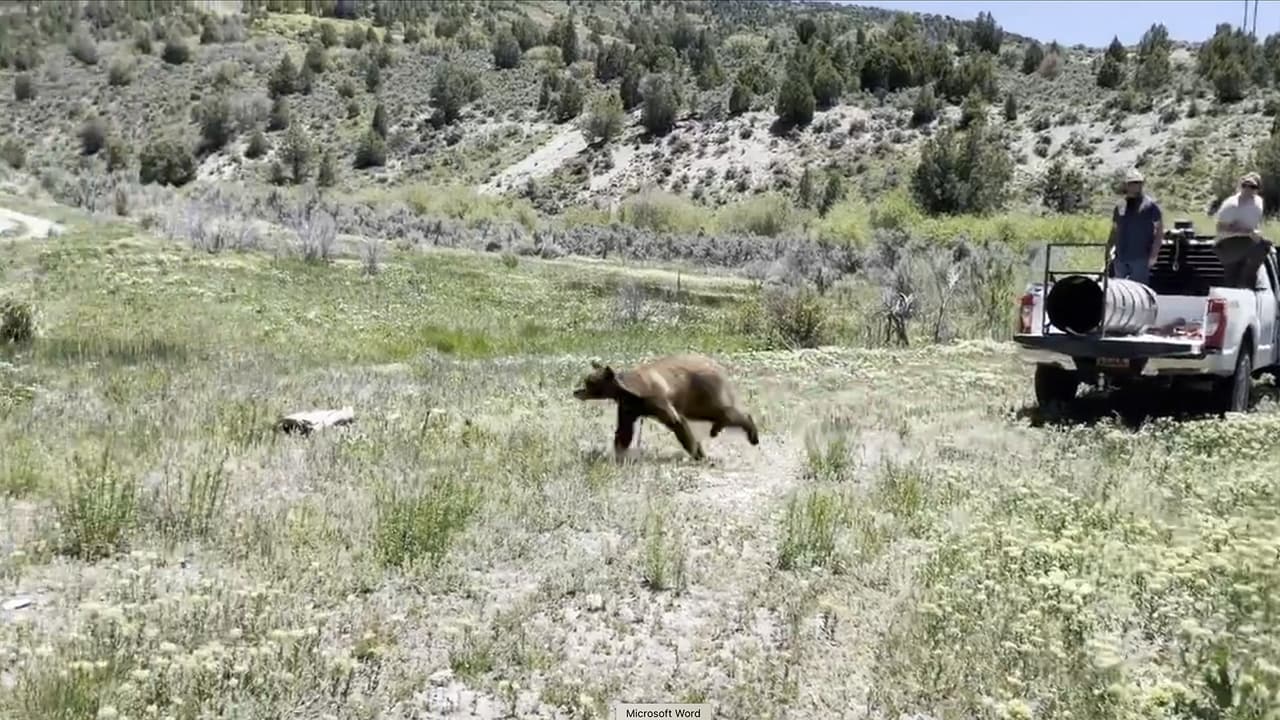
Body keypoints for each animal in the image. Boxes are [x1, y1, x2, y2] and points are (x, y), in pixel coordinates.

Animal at [572, 353, 760, 462]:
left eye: (589, 383)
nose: (576, 391)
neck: (630, 393)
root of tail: (719, 367)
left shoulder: (656, 398)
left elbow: (677, 422)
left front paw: (697, 453)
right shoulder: (628, 406)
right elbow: (624, 430)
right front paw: (619, 454)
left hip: (704, 389)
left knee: (721, 410)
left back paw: (750, 433)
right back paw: (718, 429)